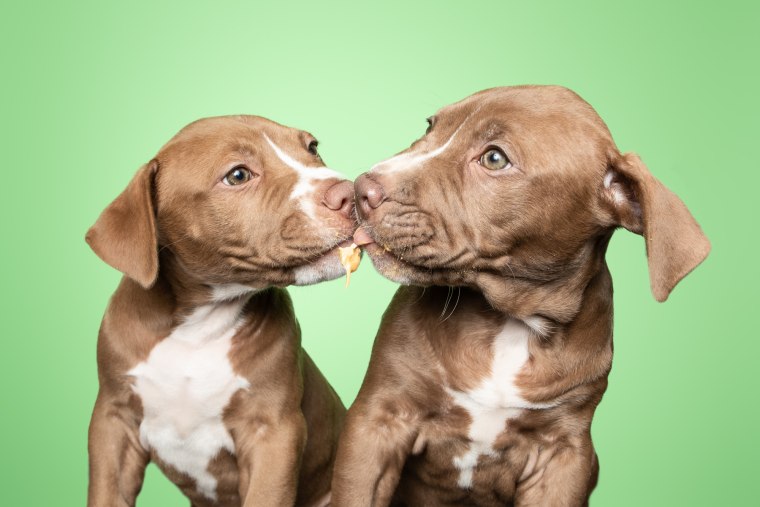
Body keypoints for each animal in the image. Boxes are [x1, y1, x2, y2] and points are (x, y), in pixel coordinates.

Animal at [86, 116, 354, 507]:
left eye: (313, 147)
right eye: (238, 175)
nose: (352, 193)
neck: (197, 325)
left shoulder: (274, 432)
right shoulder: (113, 421)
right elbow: (107, 491)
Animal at [336, 85, 708, 506]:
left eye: (494, 158)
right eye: (430, 126)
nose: (360, 188)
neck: (511, 320)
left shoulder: (563, 455)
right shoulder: (377, 422)